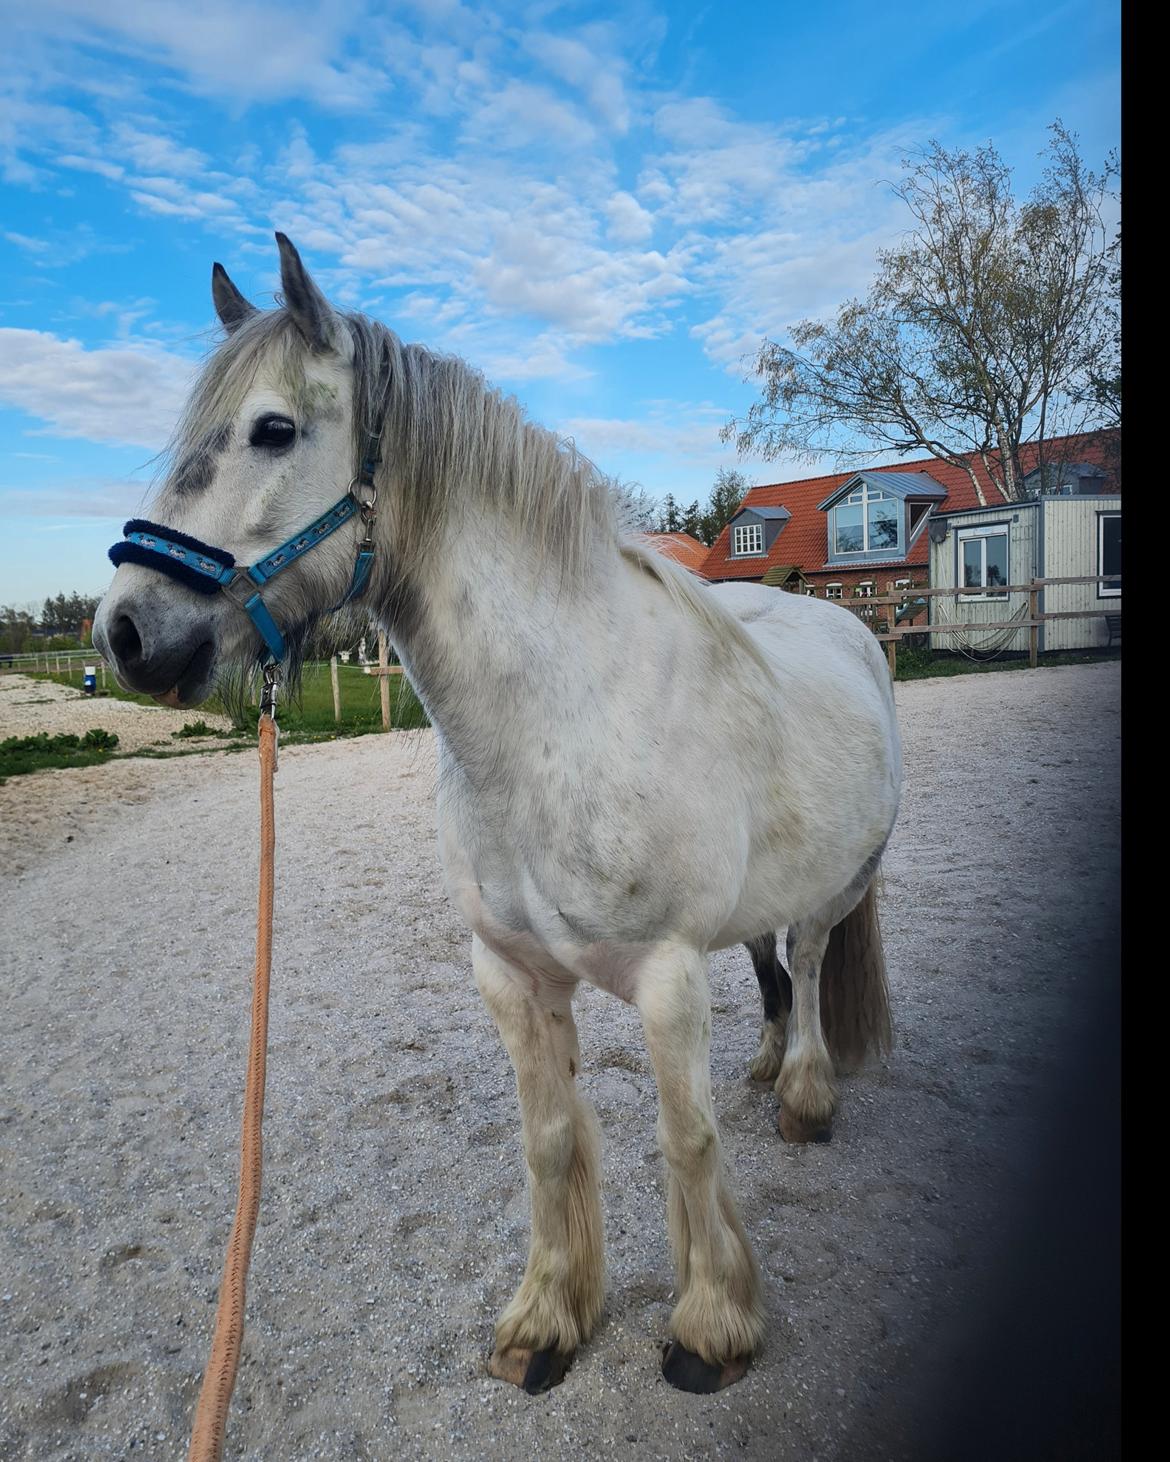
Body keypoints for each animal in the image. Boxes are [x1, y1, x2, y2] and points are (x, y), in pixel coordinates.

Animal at [95, 233, 900, 1397]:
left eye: (273, 429)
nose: (126, 633)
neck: (558, 721)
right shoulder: (512, 976)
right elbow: (552, 1141)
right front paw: (547, 1321)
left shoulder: (667, 978)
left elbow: (687, 1142)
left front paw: (710, 1328)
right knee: (772, 966)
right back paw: (763, 1065)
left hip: (839, 885)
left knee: (812, 955)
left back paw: (801, 1093)